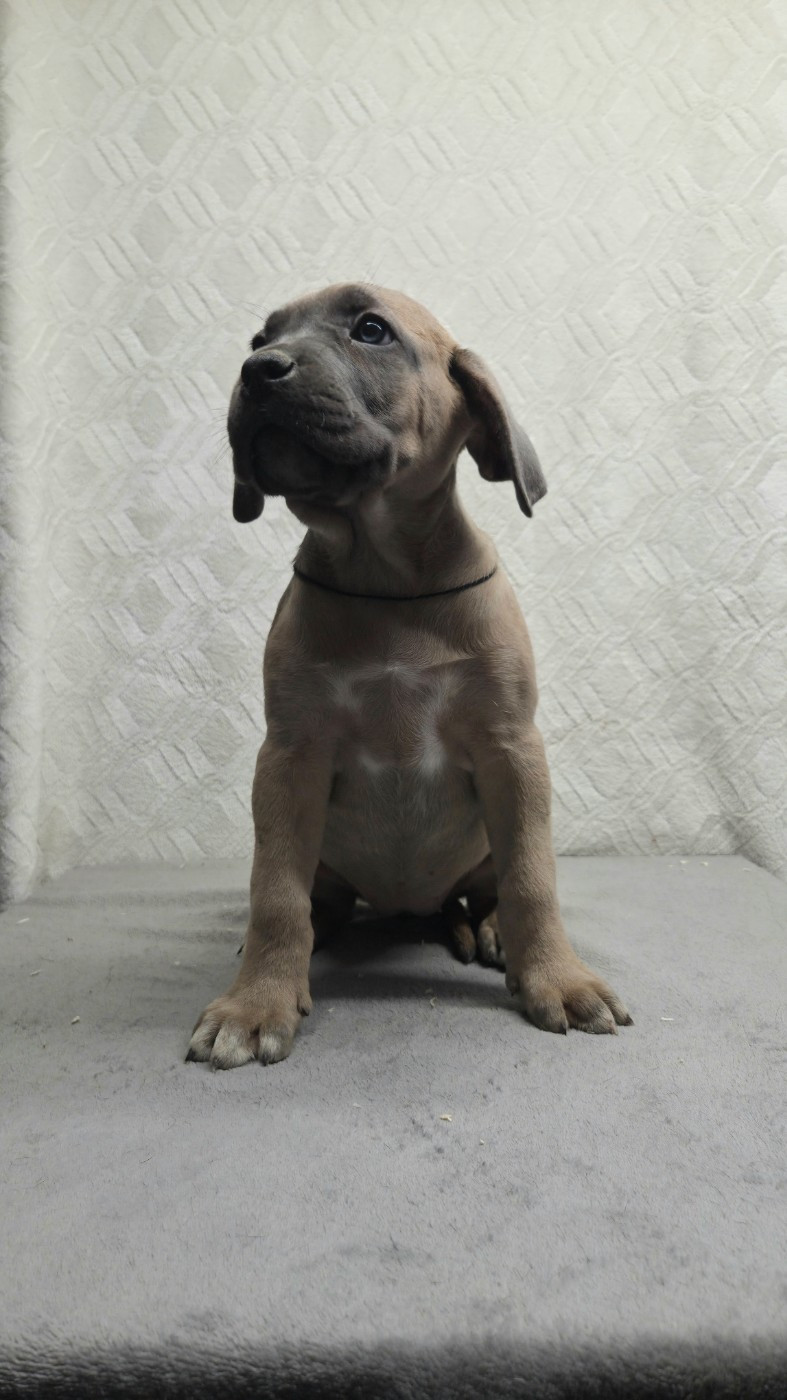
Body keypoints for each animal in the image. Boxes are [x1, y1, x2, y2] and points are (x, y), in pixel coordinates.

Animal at [187, 284, 632, 1069]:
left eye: (371, 330)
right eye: (259, 338)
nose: (256, 371)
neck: (386, 578)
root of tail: (409, 908)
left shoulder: (512, 751)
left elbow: (532, 878)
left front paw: (558, 977)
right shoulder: (289, 758)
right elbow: (274, 893)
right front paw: (256, 1001)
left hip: (483, 842)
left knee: (490, 890)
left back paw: (491, 932)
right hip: (327, 858)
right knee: (315, 901)